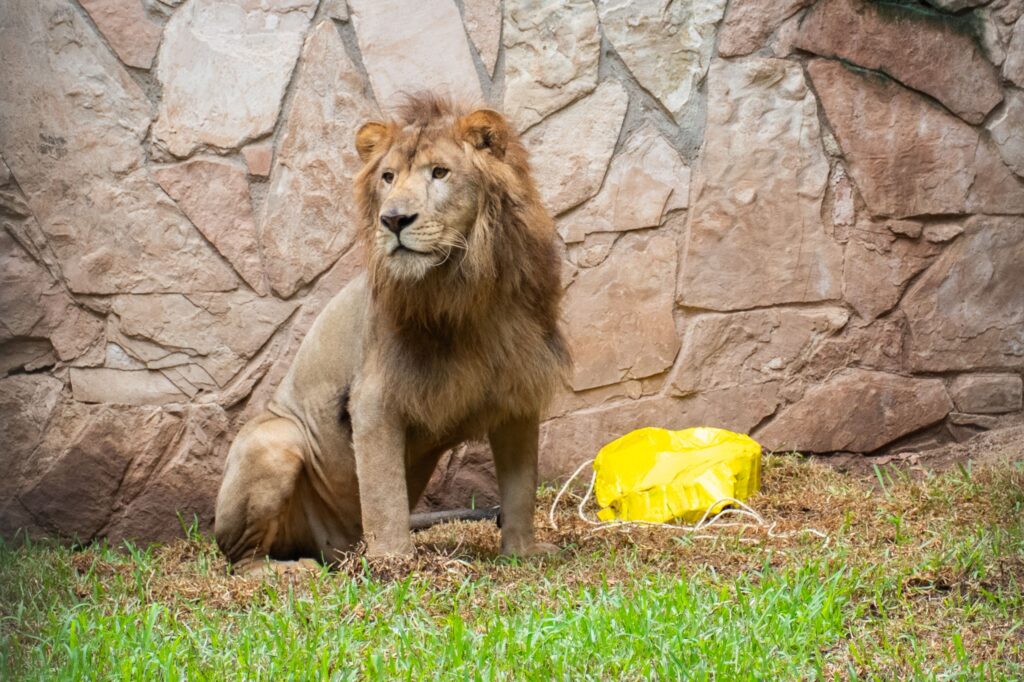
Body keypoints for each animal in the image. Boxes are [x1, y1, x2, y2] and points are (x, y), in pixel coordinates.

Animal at [214, 95, 570, 573]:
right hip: (274, 440)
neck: (467, 291)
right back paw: (289, 571)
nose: (394, 219)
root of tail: (334, 549)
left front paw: (523, 551)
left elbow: (521, 488)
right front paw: (393, 563)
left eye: (439, 172)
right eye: (388, 177)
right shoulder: (374, 398)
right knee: (240, 559)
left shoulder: (518, 393)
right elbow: (384, 494)